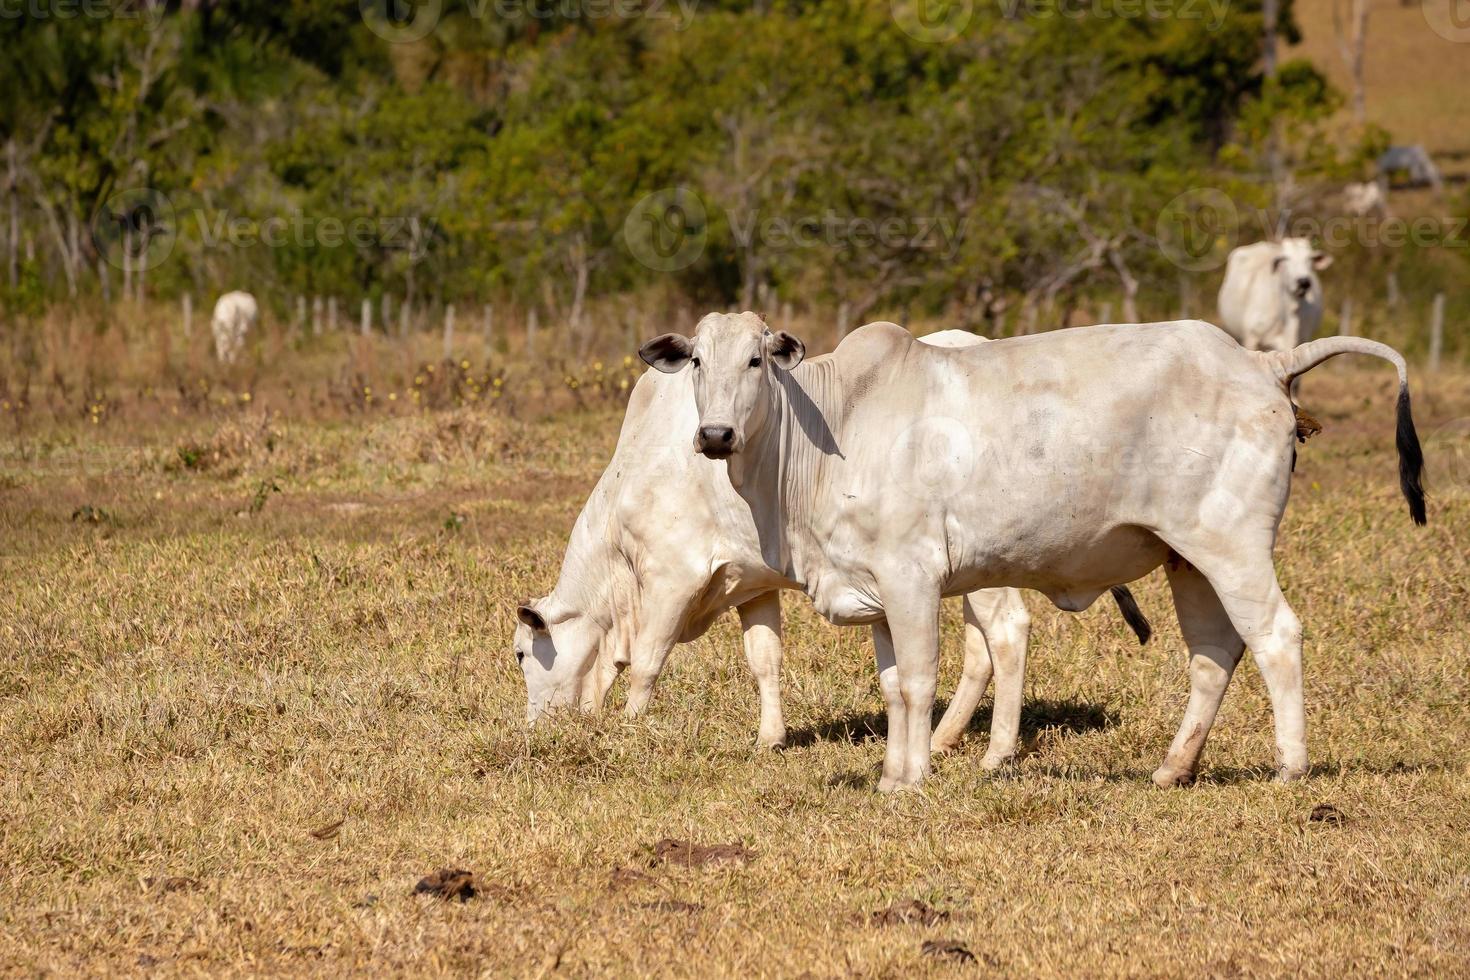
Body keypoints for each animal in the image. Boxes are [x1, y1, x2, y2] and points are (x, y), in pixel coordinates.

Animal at [517, 326, 1146, 764]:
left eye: (523, 654)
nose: (532, 729)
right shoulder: (752, 582)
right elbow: (764, 658)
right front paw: (769, 737)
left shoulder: (673, 574)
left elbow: (648, 660)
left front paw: (627, 731)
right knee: (979, 650)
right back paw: (944, 737)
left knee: (1007, 634)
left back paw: (987, 751)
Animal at [632, 312, 1422, 787]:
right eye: (696, 361)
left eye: (757, 362)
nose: (714, 435)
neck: (834, 427)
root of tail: (1261, 363)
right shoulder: (875, 590)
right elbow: (891, 686)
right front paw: (890, 774)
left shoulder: (913, 577)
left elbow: (918, 680)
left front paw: (914, 777)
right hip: (1187, 559)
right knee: (1213, 653)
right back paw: (1173, 768)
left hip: (1233, 547)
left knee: (1275, 636)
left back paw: (1291, 767)